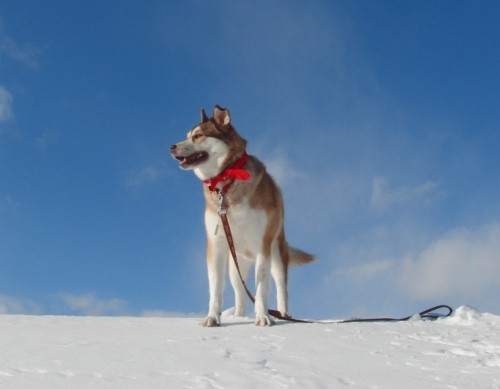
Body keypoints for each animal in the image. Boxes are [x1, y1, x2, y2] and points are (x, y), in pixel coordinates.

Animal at [171, 105, 312, 324]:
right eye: (187, 136)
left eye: (198, 136)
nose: (172, 147)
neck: (227, 179)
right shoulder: (216, 245)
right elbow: (215, 289)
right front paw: (212, 318)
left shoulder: (263, 245)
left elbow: (261, 289)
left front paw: (263, 317)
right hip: (235, 266)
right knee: (240, 294)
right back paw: (238, 315)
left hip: (277, 256)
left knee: (281, 290)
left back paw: (284, 315)